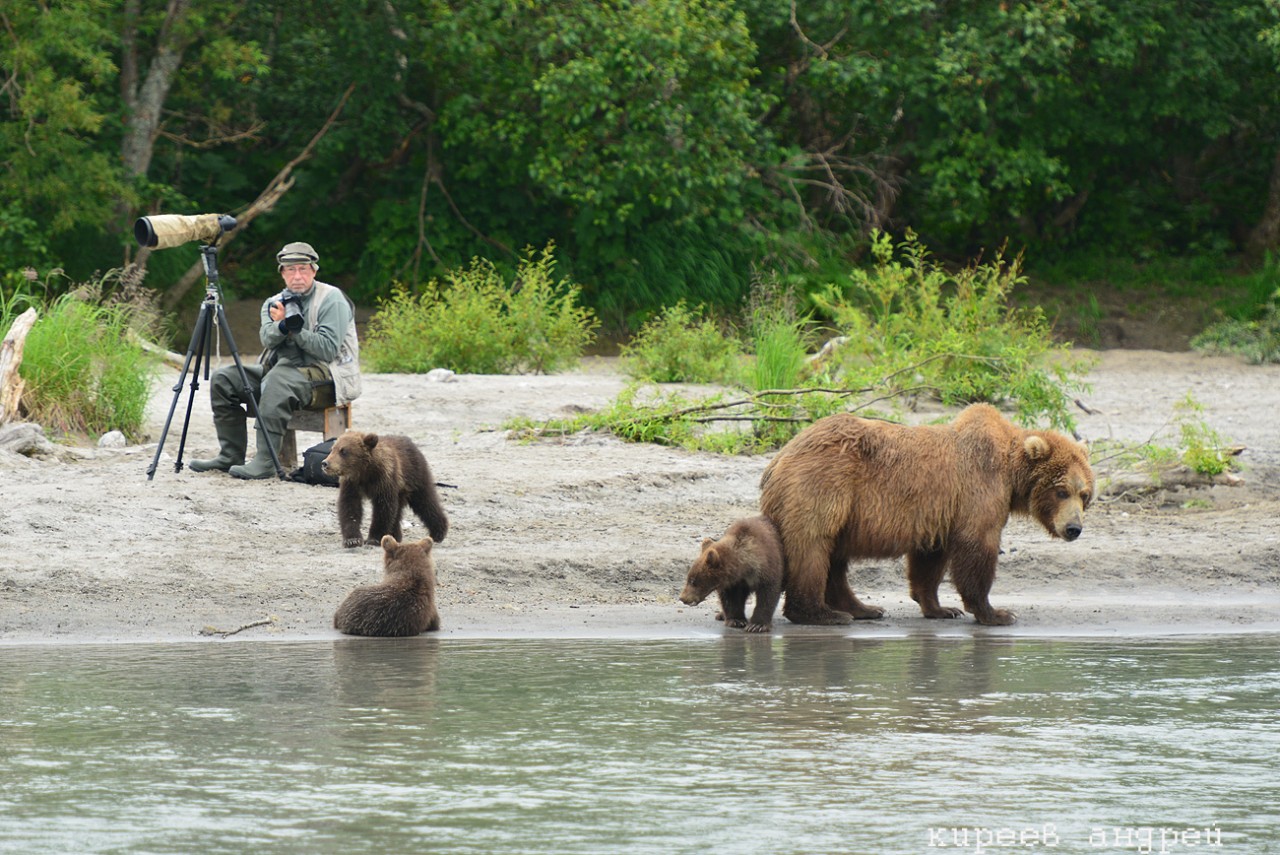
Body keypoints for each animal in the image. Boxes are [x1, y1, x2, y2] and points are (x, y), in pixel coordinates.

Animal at [320, 435, 450, 547]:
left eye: (344, 451)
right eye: (332, 449)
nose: (325, 463)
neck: (365, 472)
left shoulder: (384, 479)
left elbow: (383, 508)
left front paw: (374, 538)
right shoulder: (351, 484)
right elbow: (349, 507)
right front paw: (352, 540)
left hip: (415, 475)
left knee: (425, 501)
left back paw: (438, 532)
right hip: (401, 488)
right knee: (399, 510)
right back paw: (395, 535)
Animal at [757, 404, 1090, 624]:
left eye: (1084, 494)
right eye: (1061, 491)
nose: (1074, 528)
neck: (1010, 471)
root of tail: (779, 458)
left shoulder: (939, 512)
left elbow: (929, 560)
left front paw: (941, 608)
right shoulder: (979, 489)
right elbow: (977, 545)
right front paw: (996, 612)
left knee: (833, 556)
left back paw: (863, 609)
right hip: (823, 486)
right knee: (812, 547)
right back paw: (821, 613)